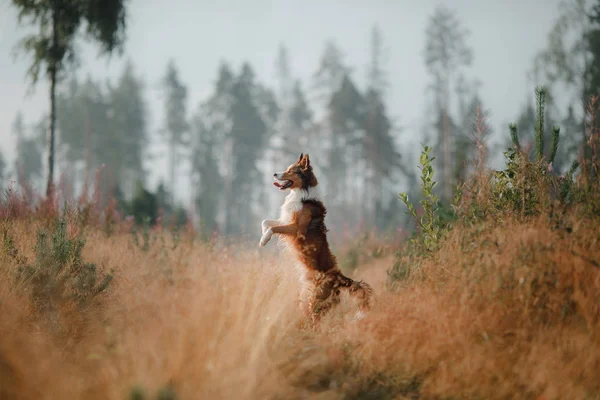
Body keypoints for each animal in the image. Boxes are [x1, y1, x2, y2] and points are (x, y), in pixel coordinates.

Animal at [258, 152, 376, 324]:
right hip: (306, 298)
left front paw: (264, 239)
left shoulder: (297, 229)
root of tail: (340, 277)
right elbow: (266, 221)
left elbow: (273, 228)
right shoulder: (286, 220)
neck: (302, 194)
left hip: (316, 300)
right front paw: (263, 235)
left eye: (290, 171)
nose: (274, 173)